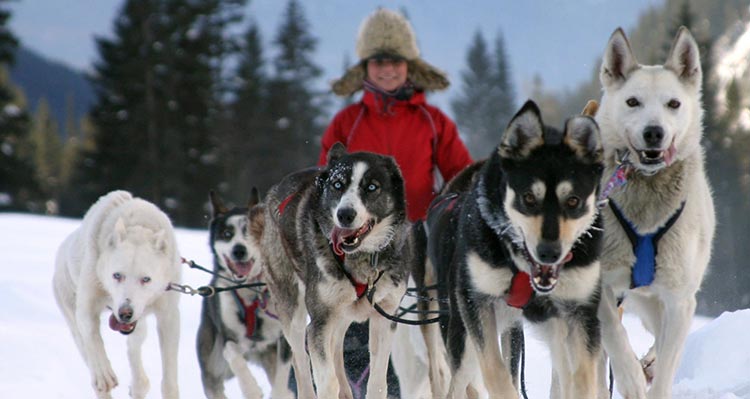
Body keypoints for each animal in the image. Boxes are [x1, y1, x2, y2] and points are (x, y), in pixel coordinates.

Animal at [53, 191, 182, 399]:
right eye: (117, 275)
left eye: (146, 279)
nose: (125, 312)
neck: (137, 226)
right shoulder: (86, 308)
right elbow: (93, 338)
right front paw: (104, 374)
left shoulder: (168, 316)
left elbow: (169, 378)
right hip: (73, 320)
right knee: (88, 354)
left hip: (139, 327)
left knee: (134, 348)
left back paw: (139, 385)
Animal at [600, 26, 716, 398]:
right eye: (632, 102)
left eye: (673, 104)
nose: (654, 132)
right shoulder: (600, 286)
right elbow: (615, 337)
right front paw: (632, 379)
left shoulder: (679, 300)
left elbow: (668, 361)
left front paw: (653, 374)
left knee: (661, 338)